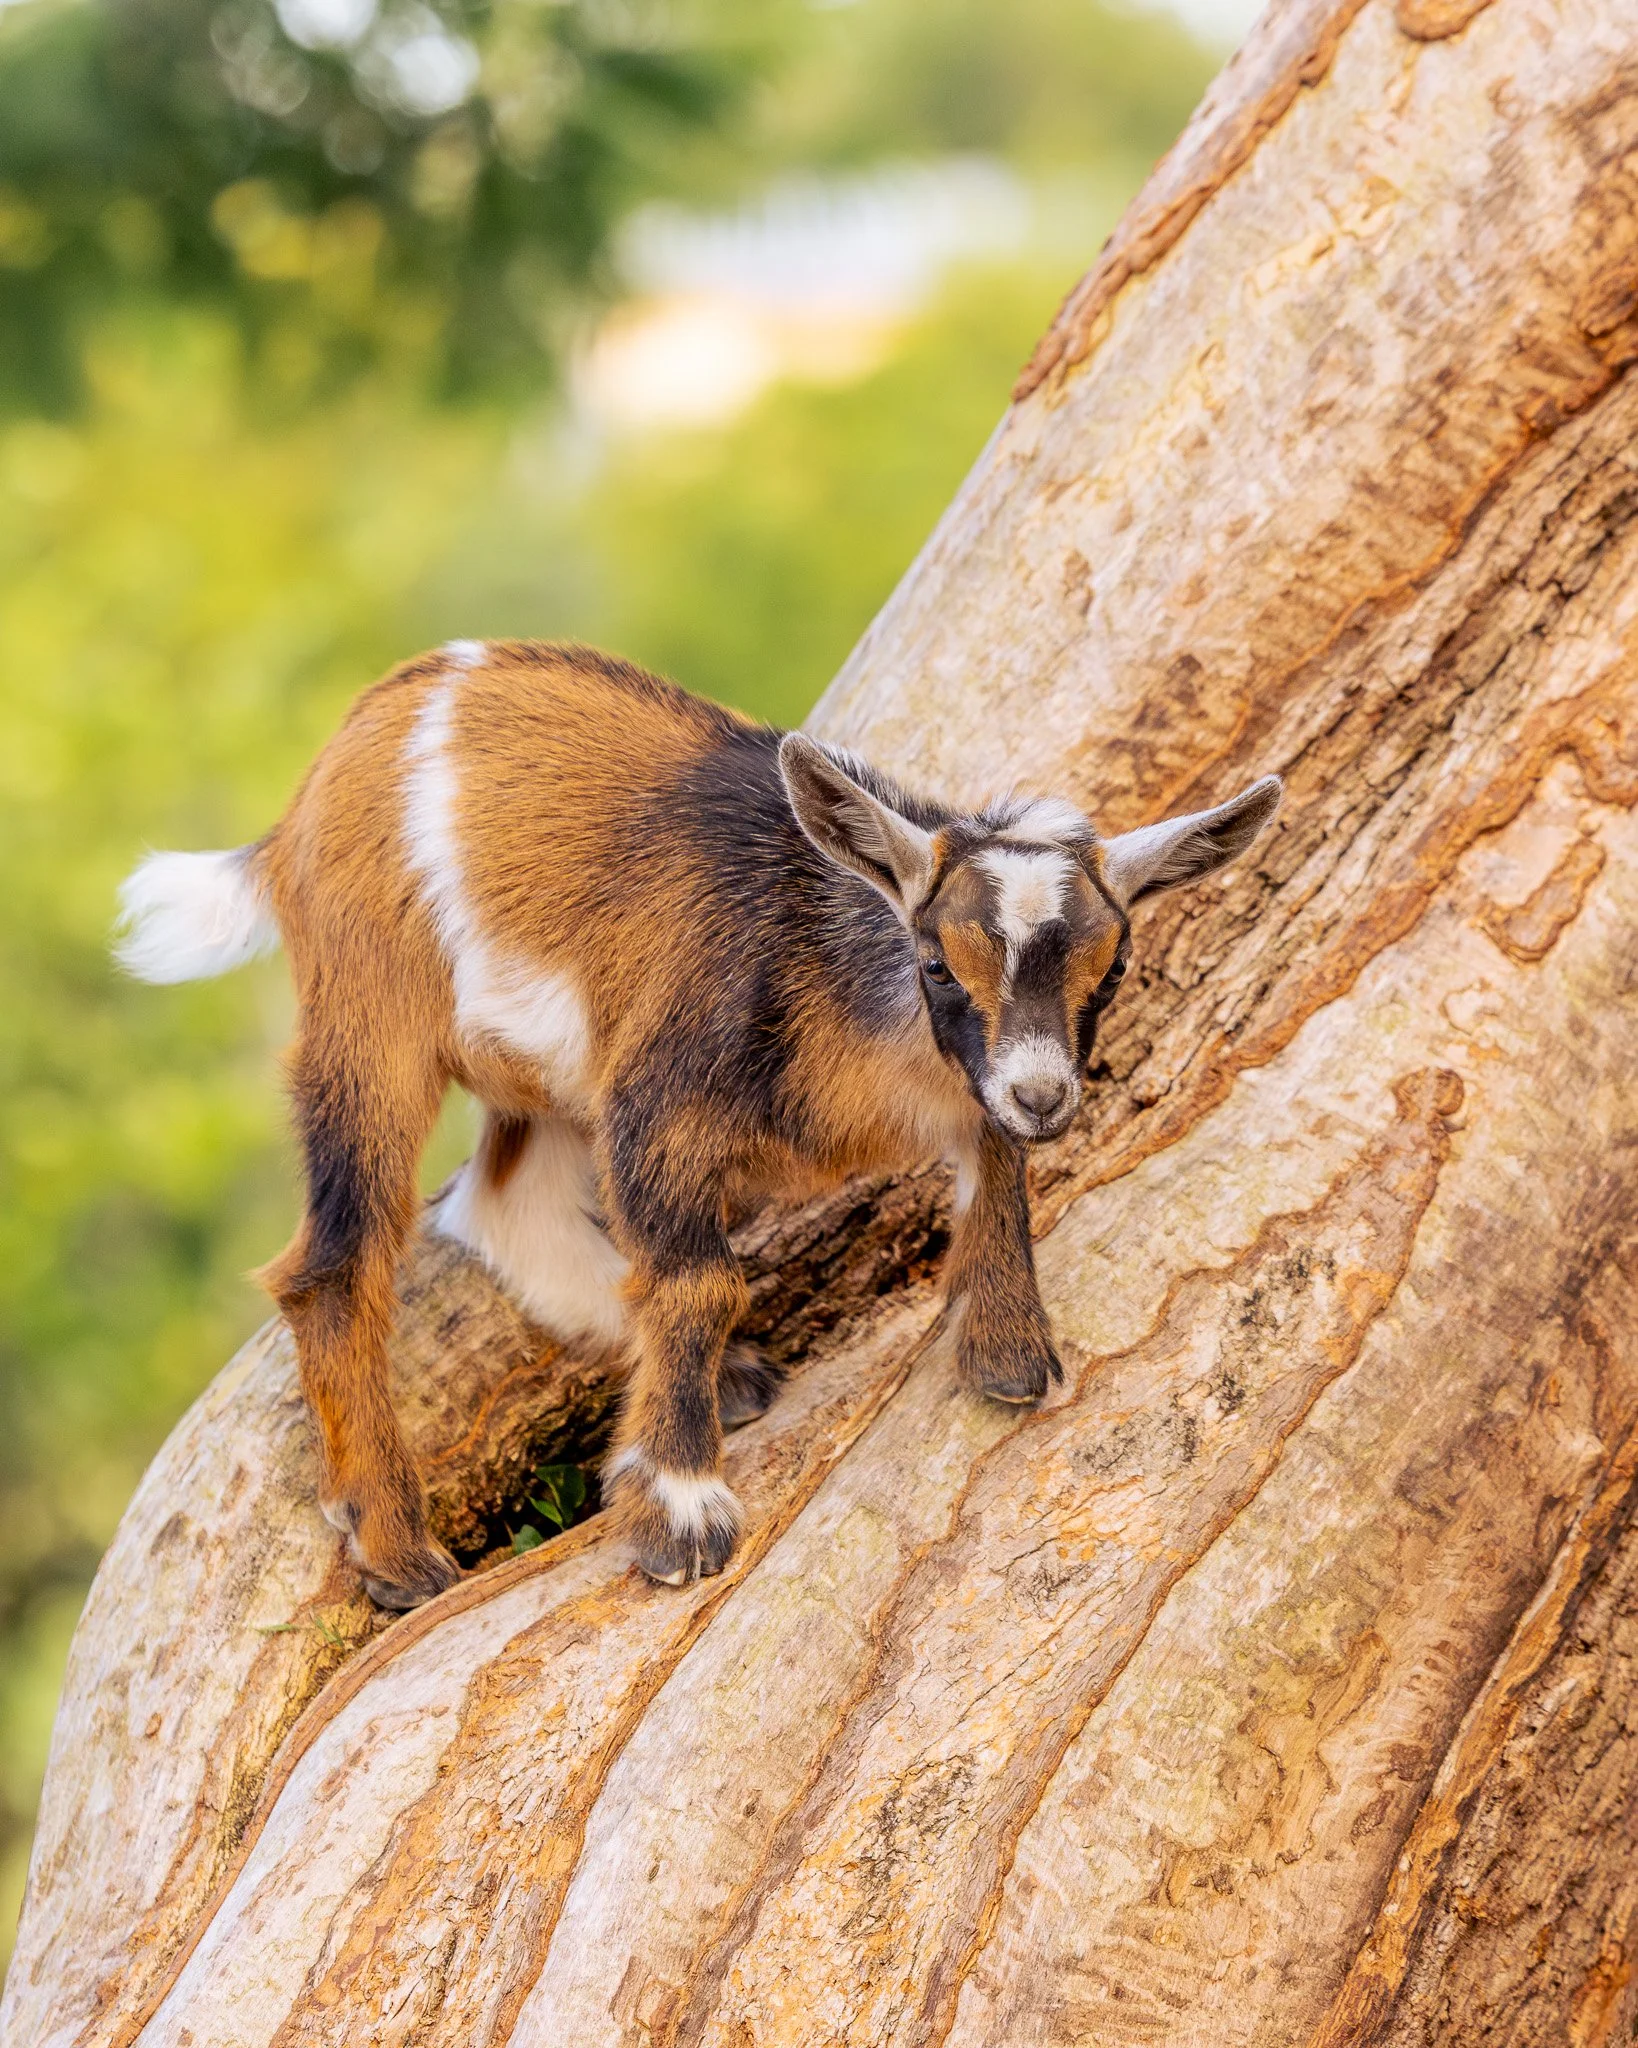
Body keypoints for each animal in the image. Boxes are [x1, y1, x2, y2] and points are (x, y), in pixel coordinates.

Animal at [117, 639, 1282, 1603]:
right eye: (939, 962)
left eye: (1111, 968)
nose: (1048, 1095)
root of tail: (300, 811)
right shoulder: (662, 1100)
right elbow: (699, 1278)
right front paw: (677, 1512)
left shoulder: (961, 1090)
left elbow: (994, 1163)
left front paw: (1007, 1353)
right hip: (372, 1012)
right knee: (335, 1261)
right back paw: (399, 1554)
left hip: (548, 1069)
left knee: (500, 1203)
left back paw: (727, 1374)